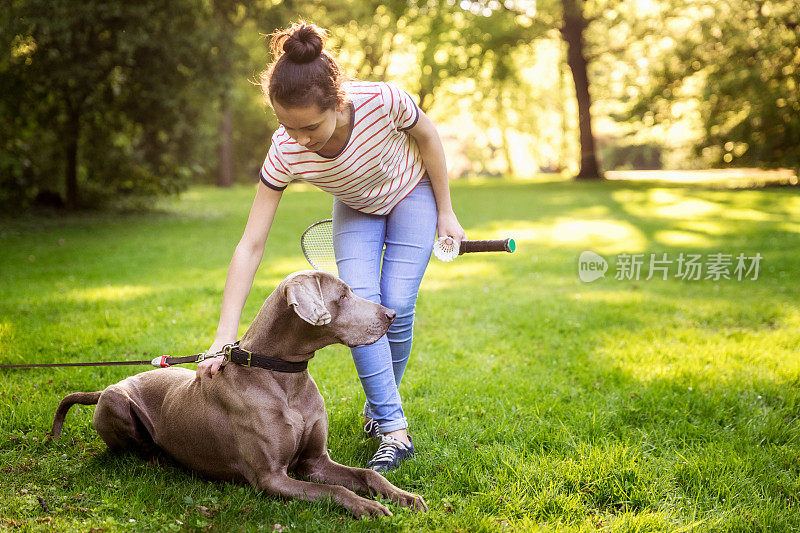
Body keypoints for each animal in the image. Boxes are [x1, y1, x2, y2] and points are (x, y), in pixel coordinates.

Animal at [50, 270, 428, 516]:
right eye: (344, 296)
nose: (392, 314)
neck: (284, 379)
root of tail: (104, 388)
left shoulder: (315, 461)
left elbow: (366, 474)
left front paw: (404, 497)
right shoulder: (270, 478)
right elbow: (334, 489)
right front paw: (368, 506)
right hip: (116, 403)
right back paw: (161, 457)